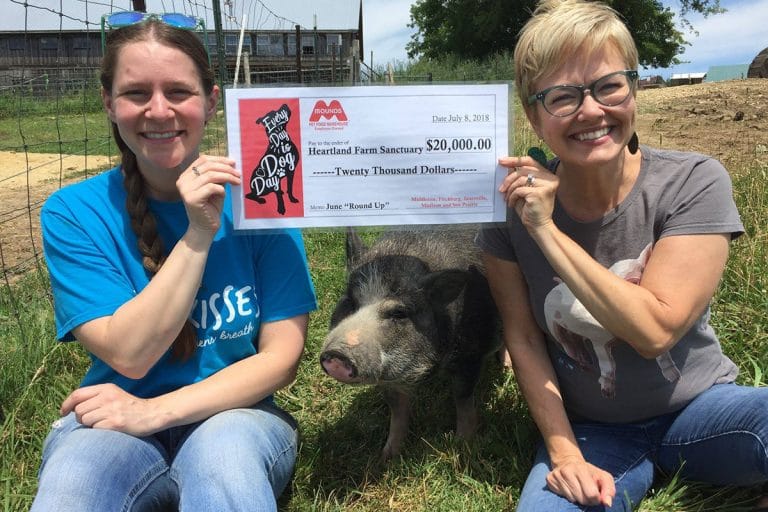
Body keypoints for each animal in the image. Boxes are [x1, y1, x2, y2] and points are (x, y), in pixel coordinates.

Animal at [320, 226, 500, 459]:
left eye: (399, 313)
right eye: (350, 302)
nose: (337, 354)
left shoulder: (471, 354)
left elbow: (462, 399)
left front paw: (463, 445)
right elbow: (397, 409)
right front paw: (387, 456)